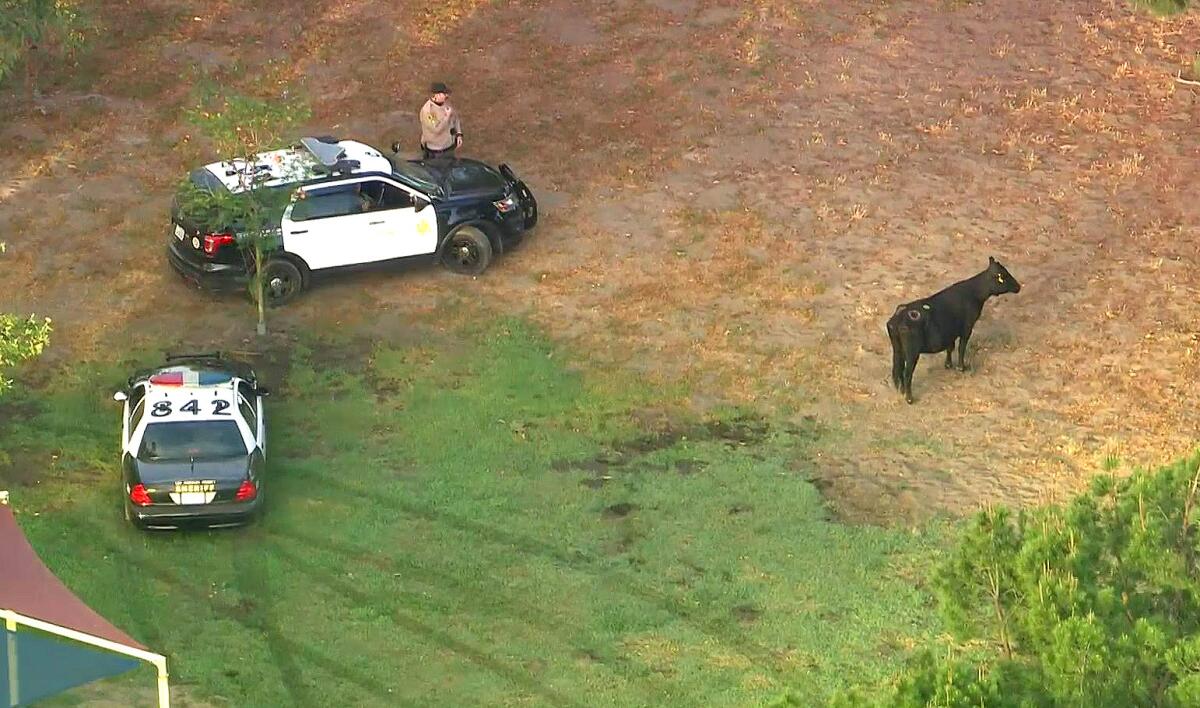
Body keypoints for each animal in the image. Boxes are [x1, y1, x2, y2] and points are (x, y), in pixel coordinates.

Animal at [883, 259, 1022, 405]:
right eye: (1004, 275)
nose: (1018, 287)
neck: (974, 292)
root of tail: (897, 318)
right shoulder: (966, 328)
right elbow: (961, 348)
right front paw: (961, 367)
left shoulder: (950, 333)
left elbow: (950, 347)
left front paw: (948, 365)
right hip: (912, 352)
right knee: (907, 372)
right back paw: (909, 398)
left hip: (898, 350)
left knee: (897, 368)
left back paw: (901, 390)